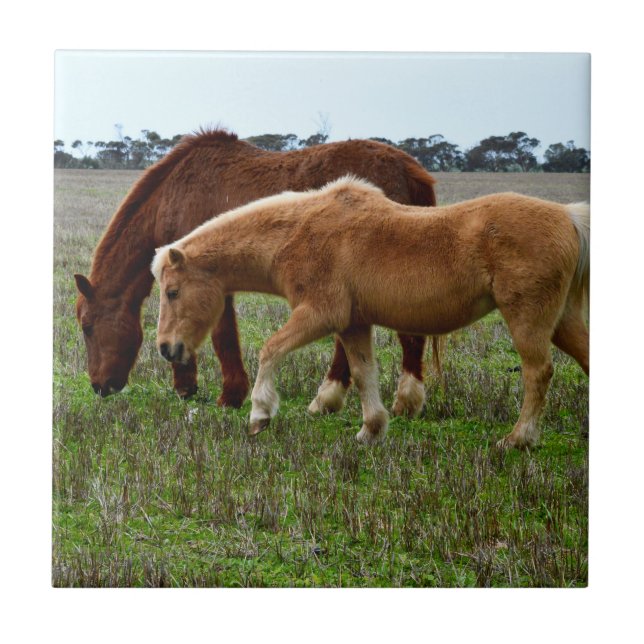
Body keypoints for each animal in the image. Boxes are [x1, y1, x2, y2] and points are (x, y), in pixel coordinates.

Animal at [74, 128, 439, 417]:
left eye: (88, 327)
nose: (99, 386)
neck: (174, 195)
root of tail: (409, 168)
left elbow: (222, 336)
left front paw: (227, 395)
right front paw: (191, 386)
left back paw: (400, 400)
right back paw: (332, 398)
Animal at [153, 176, 589, 449]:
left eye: (172, 292)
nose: (166, 349)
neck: (297, 232)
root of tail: (568, 216)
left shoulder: (320, 314)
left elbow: (271, 349)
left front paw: (260, 414)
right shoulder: (353, 324)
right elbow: (363, 373)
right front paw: (371, 431)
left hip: (528, 319)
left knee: (537, 372)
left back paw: (519, 438)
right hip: (563, 322)